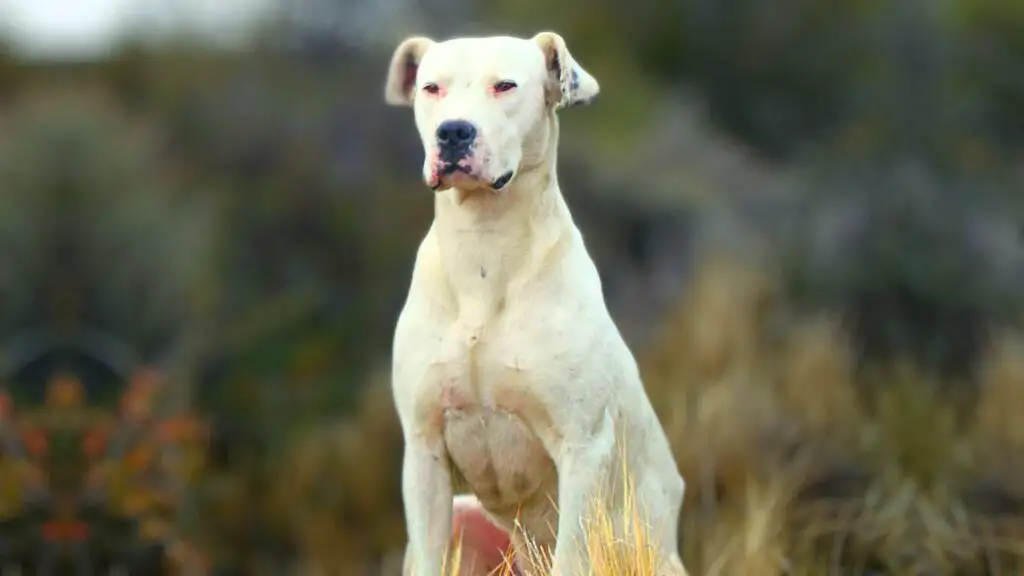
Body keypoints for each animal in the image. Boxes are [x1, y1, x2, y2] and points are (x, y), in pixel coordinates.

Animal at [385, 32, 688, 573]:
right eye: (431, 88)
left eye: (505, 85)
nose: (453, 131)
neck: (485, 252)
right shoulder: (423, 450)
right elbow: (426, 554)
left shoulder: (583, 449)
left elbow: (573, 552)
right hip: (464, 516)